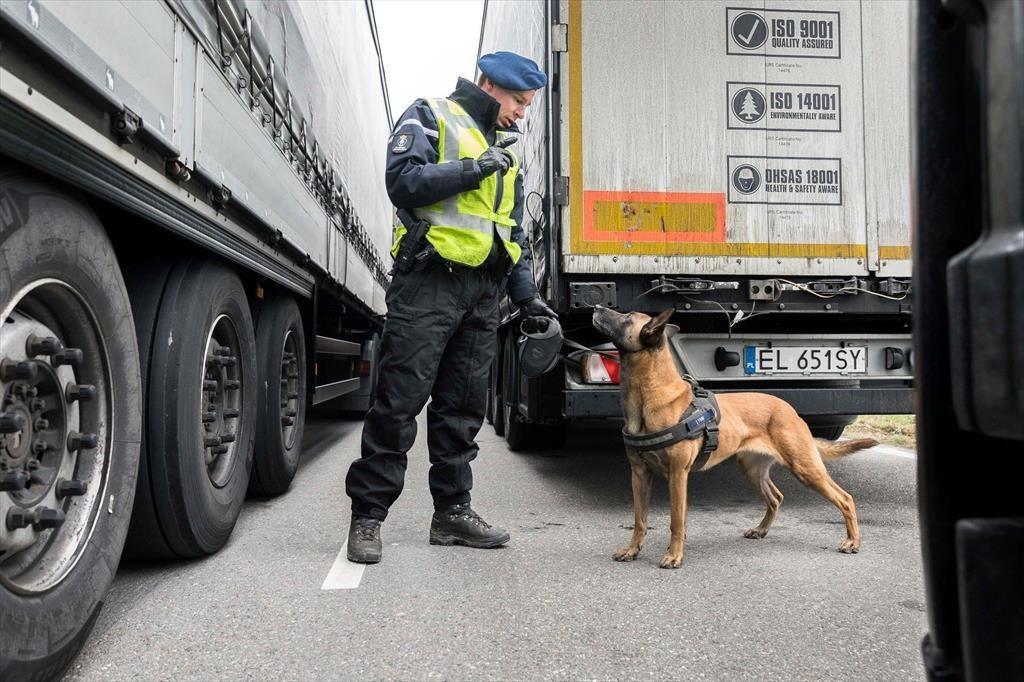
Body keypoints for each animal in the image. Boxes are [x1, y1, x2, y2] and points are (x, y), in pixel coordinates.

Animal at [593, 305, 880, 565]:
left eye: (627, 318)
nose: (595, 307)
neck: (649, 396)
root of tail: (790, 409)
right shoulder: (640, 474)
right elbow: (639, 519)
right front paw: (632, 550)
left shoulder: (677, 474)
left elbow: (676, 520)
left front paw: (674, 556)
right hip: (752, 469)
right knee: (776, 498)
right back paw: (761, 530)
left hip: (805, 468)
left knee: (845, 498)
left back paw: (852, 542)